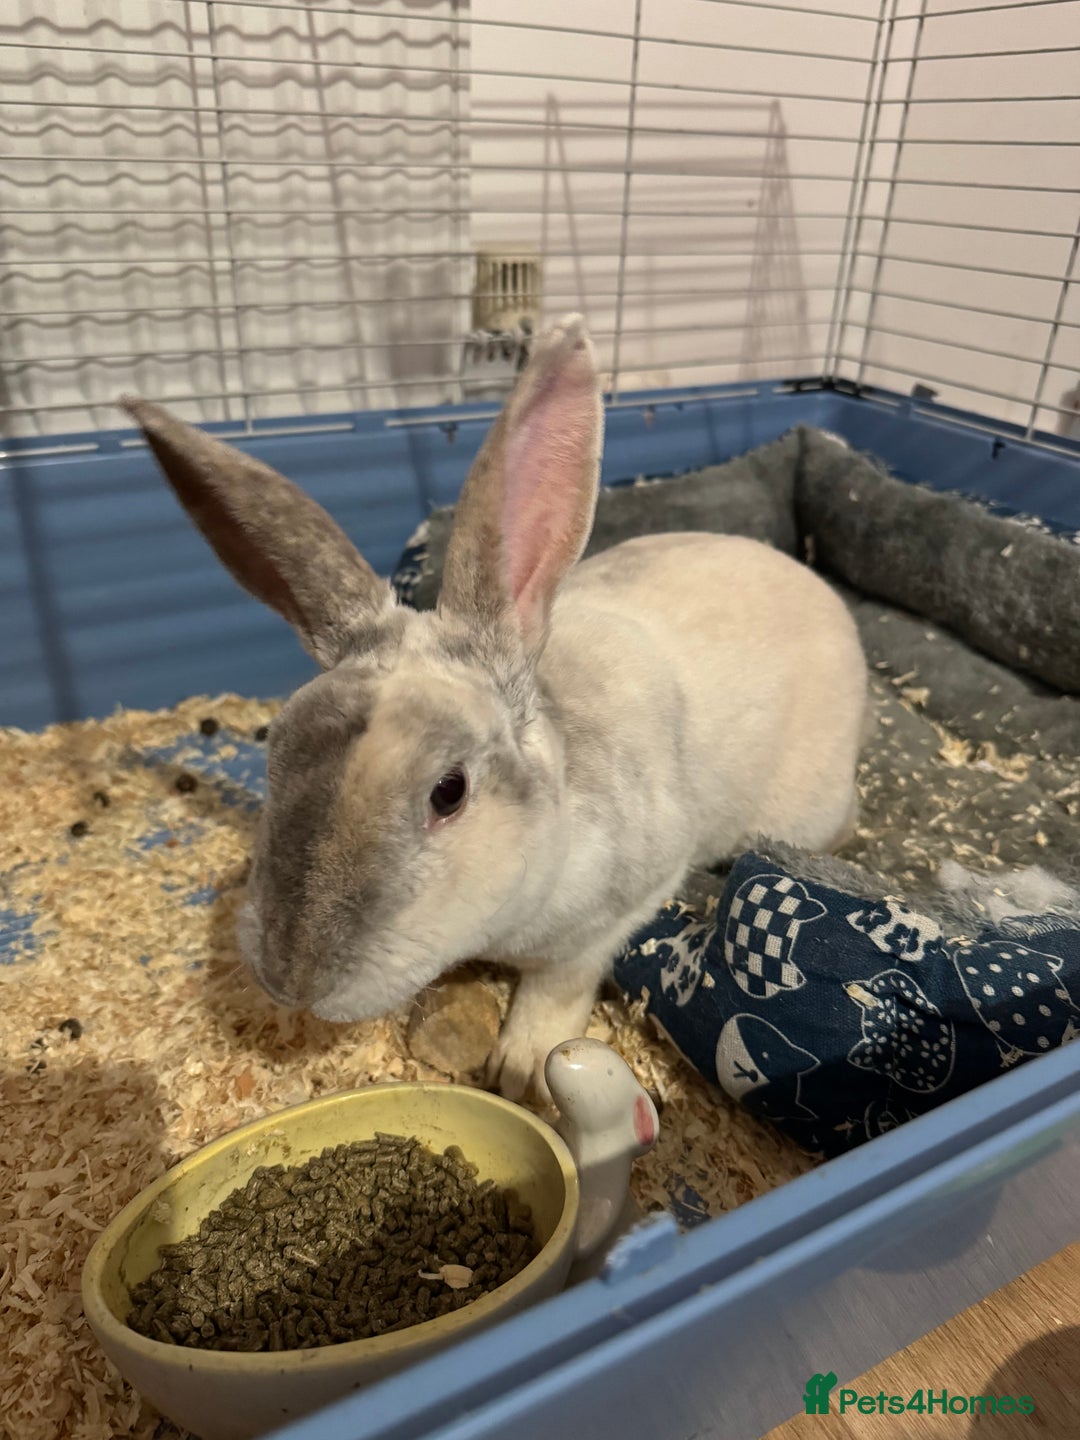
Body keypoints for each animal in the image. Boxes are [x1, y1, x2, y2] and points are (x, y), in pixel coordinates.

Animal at [120, 314, 867, 1104]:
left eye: (449, 792)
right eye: (276, 750)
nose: (293, 979)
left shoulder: (614, 913)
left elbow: (558, 987)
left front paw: (520, 1069)